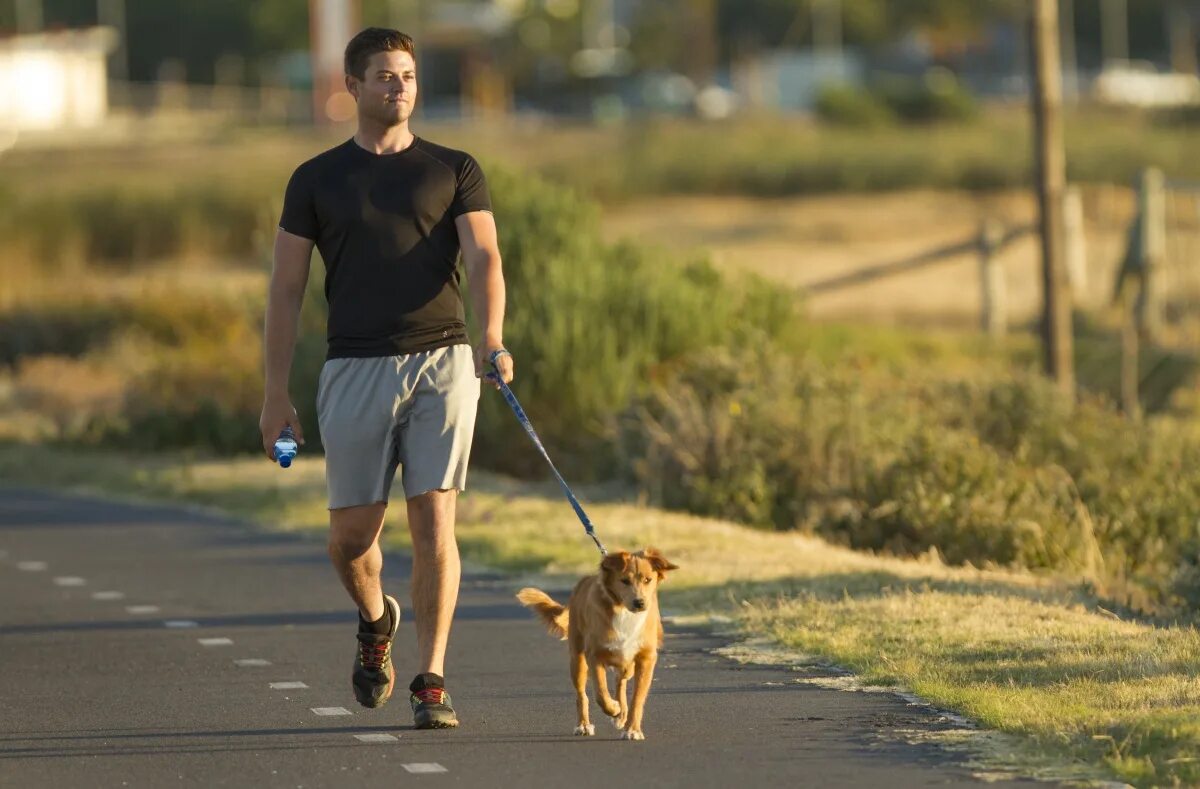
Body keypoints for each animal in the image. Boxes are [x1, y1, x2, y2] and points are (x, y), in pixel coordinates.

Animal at [516, 546, 681, 738]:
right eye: (624, 581)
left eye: (648, 580)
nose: (639, 603)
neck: (624, 612)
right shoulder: (594, 656)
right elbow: (600, 694)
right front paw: (614, 709)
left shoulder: (646, 658)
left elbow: (637, 698)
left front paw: (632, 728)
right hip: (578, 659)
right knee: (582, 694)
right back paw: (585, 725)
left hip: (627, 665)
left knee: (620, 681)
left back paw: (621, 715)